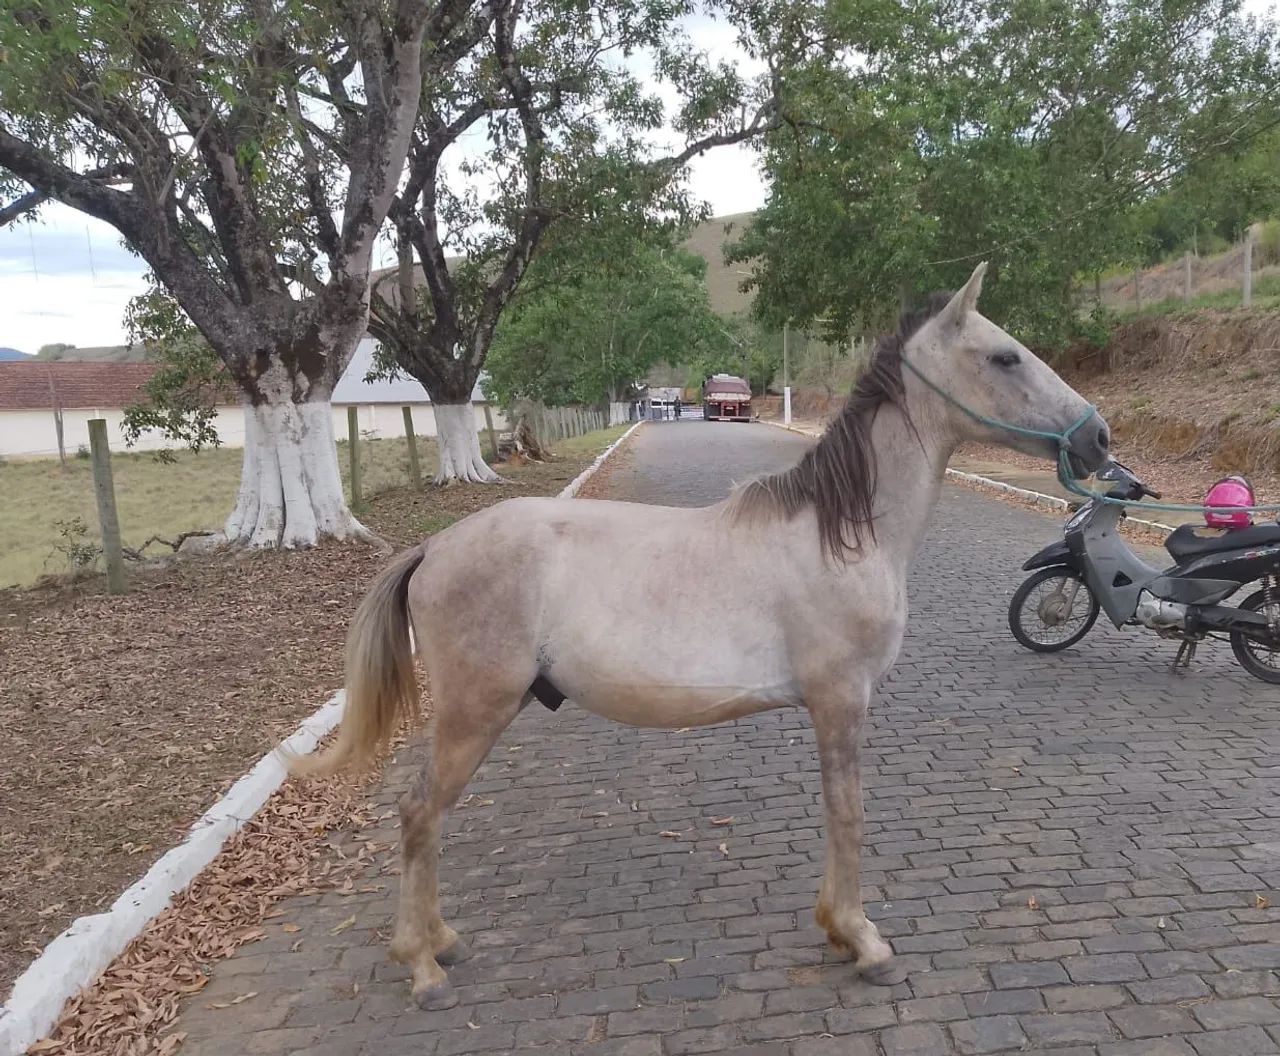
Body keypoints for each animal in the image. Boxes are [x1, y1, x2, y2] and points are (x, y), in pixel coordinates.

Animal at [300, 262, 1111, 1010]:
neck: (844, 534)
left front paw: (836, 928)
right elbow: (846, 814)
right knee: (419, 815)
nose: (1098, 438)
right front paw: (861, 939)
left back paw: (441, 941)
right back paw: (423, 965)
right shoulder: (841, 700)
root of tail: (435, 548)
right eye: (1005, 357)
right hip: (476, 711)